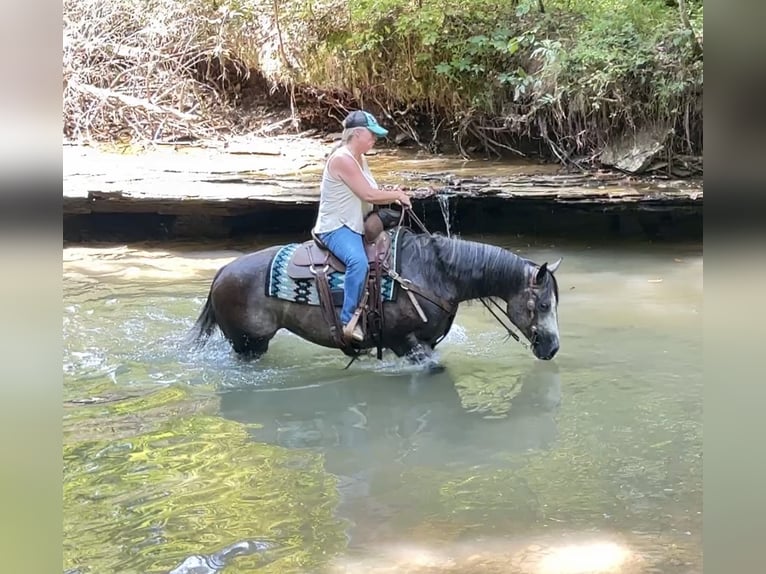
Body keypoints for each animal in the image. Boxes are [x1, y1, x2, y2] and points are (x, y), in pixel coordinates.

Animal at [189, 226, 561, 365]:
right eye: (543, 304)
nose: (553, 348)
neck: (436, 273)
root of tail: (222, 272)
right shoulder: (405, 341)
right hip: (248, 344)